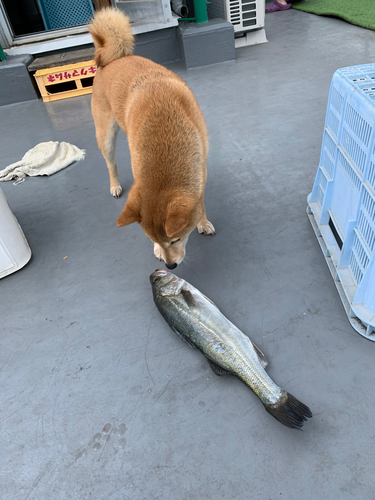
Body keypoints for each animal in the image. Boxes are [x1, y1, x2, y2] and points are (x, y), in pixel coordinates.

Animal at [88, 7, 216, 268]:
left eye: (176, 239)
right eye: (152, 239)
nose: (169, 266)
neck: (165, 144)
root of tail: (115, 59)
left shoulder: (201, 170)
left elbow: (200, 203)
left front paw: (203, 221)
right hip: (105, 136)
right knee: (111, 163)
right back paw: (115, 185)